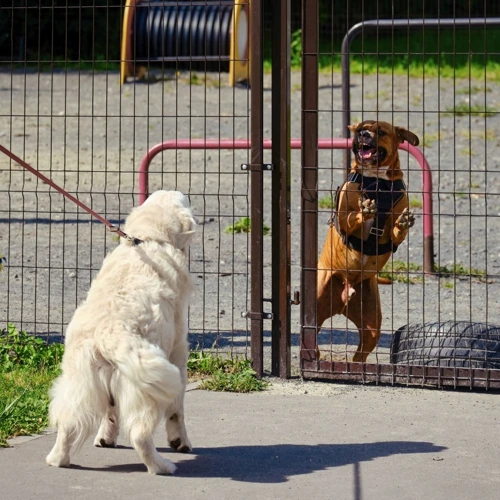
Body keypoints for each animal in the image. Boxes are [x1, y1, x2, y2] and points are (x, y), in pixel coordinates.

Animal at [45, 189, 195, 474]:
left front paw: (106, 438)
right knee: (140, 435)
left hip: (81, 382)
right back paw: (162, 466)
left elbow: (110, 411)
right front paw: (180, 441)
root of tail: (109, 333)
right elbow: (178, 410)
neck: (149, 238)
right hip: (148, 388)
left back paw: (58, 459)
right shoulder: (178, 351)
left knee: (68, 424)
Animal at [318, 121, 420, 364]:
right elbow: (350, 218)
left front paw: (403, 223)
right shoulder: (344, 216)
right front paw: (364, 210)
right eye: (359, 130)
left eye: (381, 132)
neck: (377, 181)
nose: (363, 134)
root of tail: (344, 298)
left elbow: (396, 231)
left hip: (372, 325)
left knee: (360, 353)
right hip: (316, 303)